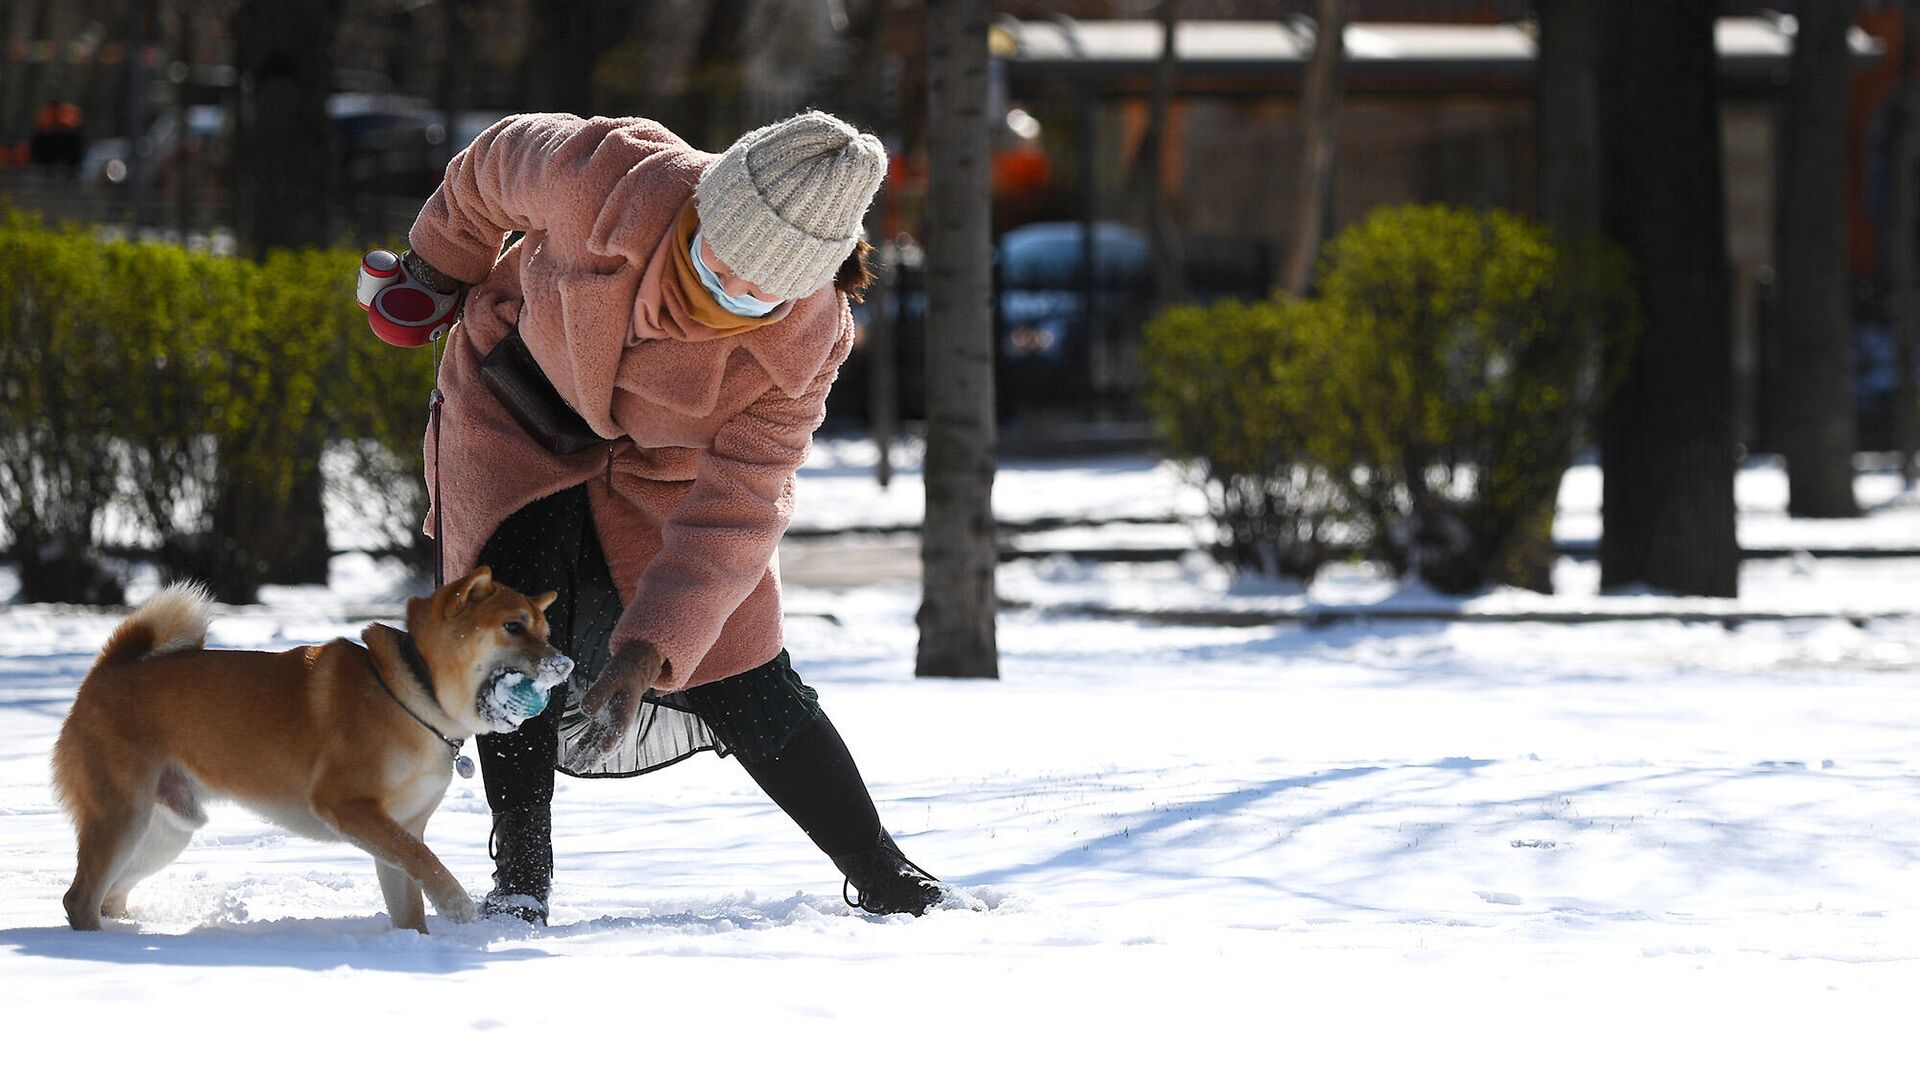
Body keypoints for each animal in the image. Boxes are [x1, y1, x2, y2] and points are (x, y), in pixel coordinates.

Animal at [48, 568, 564, 930]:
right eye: (513, 626)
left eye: (546, 630)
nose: (566, 664)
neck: (415, 693)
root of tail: (106, 672)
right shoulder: (347, 805)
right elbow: (427, 864)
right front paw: (456, 904)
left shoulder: (398, 828)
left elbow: (409, 895)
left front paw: (415, 944)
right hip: (122, 816)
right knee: (80, 898)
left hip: (162, 833)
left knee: (110, 894)